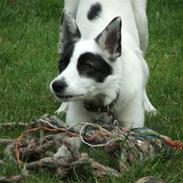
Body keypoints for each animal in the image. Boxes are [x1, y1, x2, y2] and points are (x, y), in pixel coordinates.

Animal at [49, 0, 156, 134]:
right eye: (63, 63)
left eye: (87, 66)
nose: (56, 85)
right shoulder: (76, 122)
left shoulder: (132, 123)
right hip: (69, 8)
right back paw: (63, 107)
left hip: (142, 25)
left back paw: (147, 104)